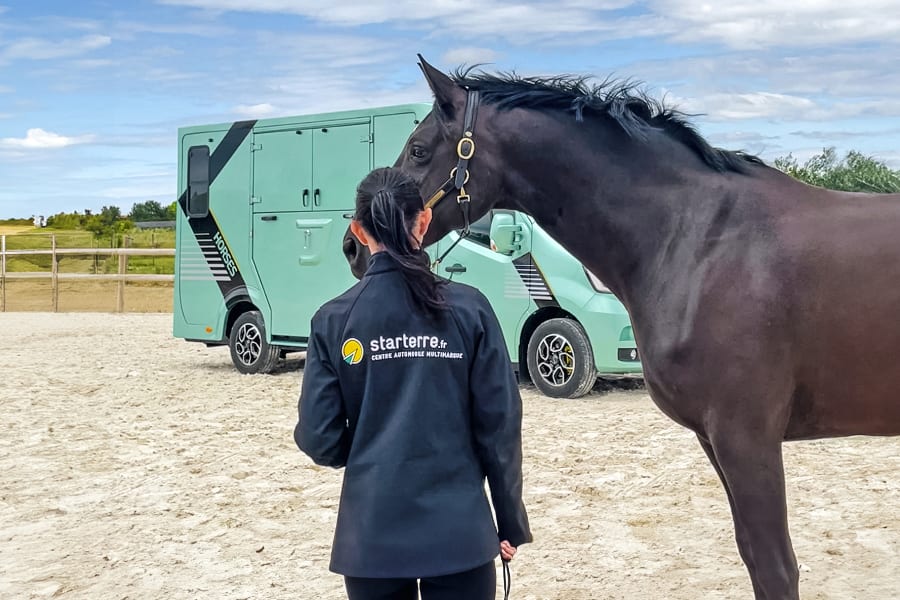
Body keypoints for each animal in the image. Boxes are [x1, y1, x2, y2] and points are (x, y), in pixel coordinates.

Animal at [344, 55, 900, 596]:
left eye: (418, 151)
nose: (354, 246)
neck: (699, 239)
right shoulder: (718, 440)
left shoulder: (746, 437)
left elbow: (775, 568)